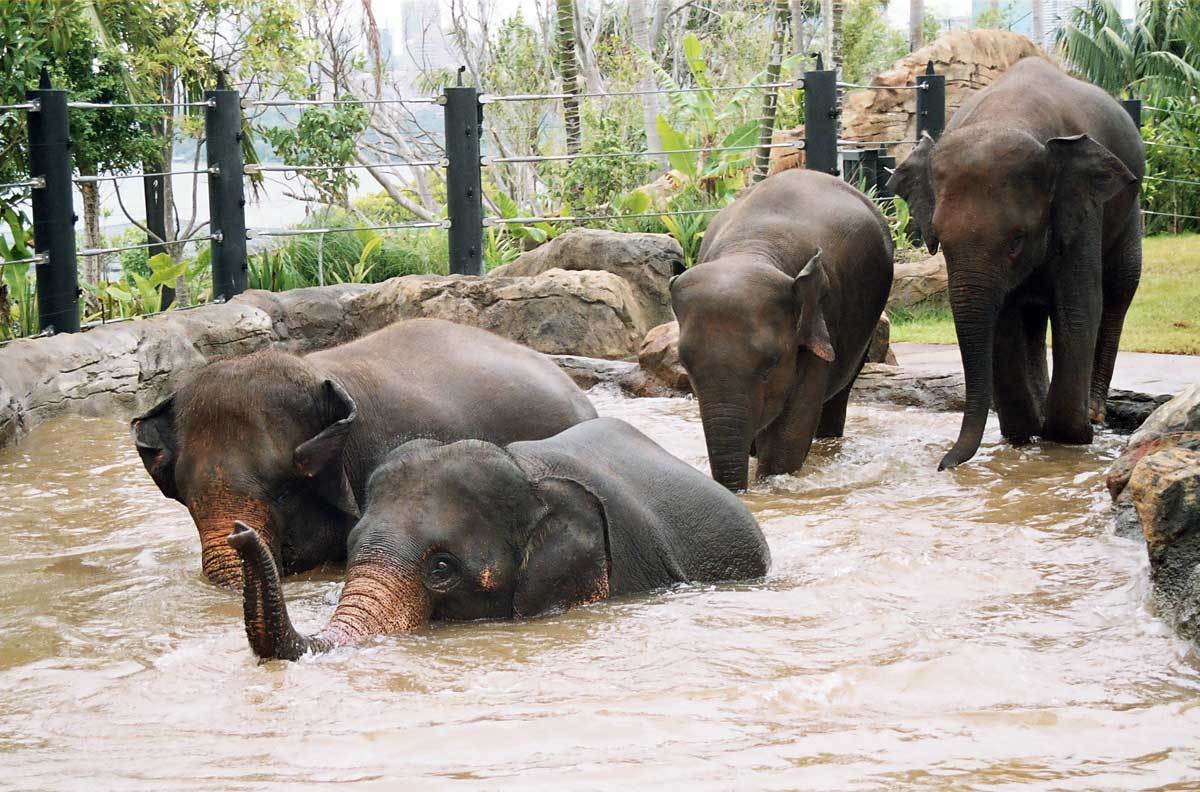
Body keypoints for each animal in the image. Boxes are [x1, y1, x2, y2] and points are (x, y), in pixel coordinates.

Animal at [669, 168, 894, 490]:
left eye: (771, 364)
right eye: (685, 365)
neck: (751, 248)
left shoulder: (823, 314)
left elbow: (791, 430)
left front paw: (772, 482)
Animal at [888, 57, 1143, 470]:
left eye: (1017, 241)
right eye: (939, 239)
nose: (943, 465)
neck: (1008, 115)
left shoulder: (1082, 211)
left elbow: (1078, 308)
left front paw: (1067, 438)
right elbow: (1005, 320)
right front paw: (1023, 435)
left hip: (1128, 207)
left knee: (1120, 287)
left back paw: (1094, 415)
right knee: (1032, 314)